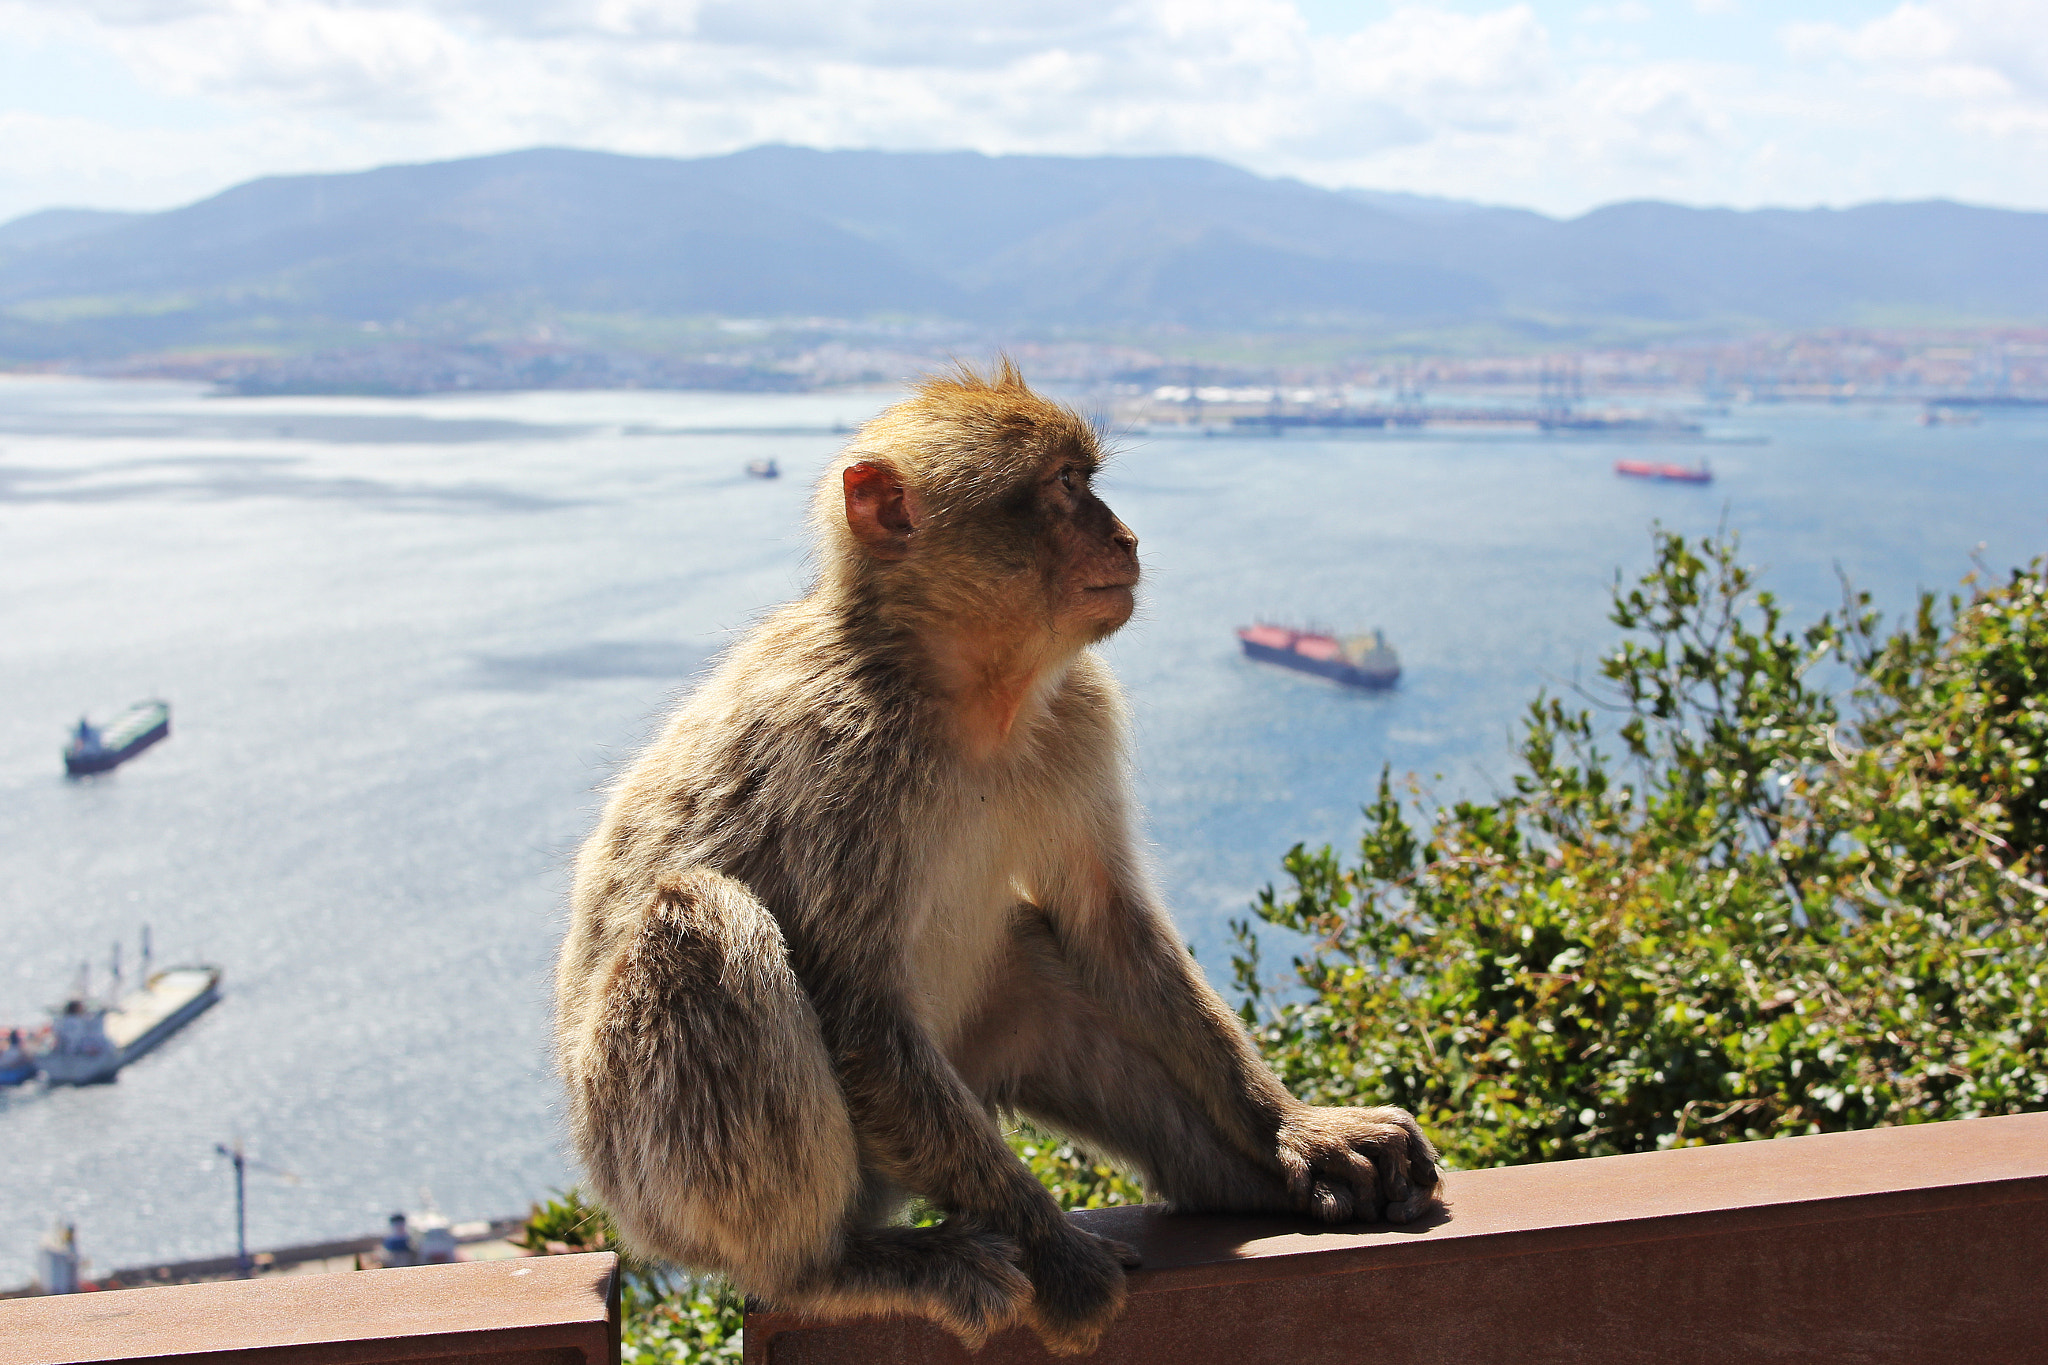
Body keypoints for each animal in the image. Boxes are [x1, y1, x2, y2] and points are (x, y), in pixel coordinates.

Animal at [553, 361, 1440, 1356]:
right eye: (1063, 486)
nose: (1127, 535)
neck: (968, 692)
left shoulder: (1078, 712)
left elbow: (1110, 927)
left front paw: (1295, 1126)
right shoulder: (836, 756)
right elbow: (859, 1011)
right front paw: (1056, 1255)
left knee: (1041, 966)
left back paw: (1254, 1178)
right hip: (657, 1177)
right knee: (699, 921)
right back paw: (833, 1267)